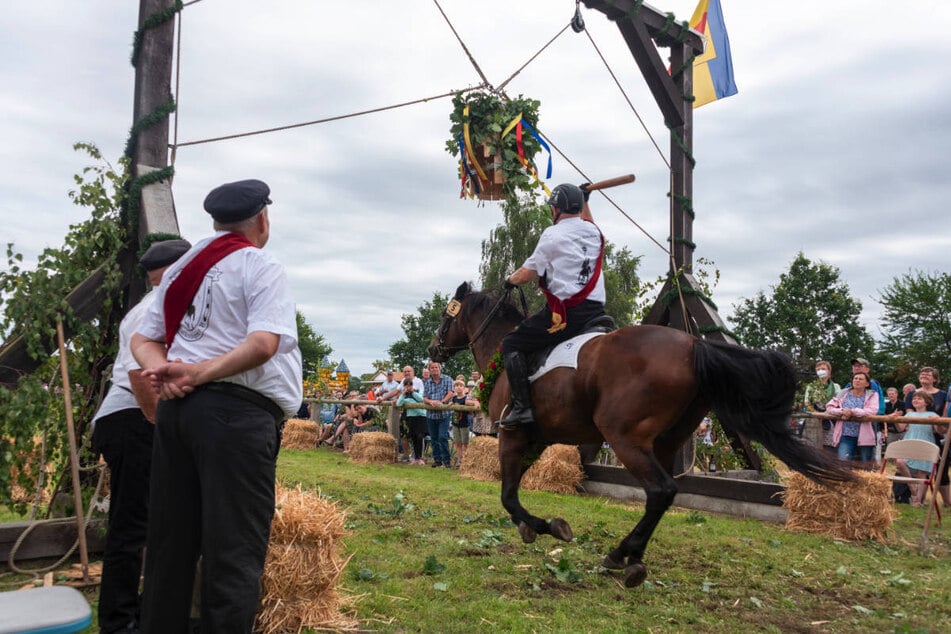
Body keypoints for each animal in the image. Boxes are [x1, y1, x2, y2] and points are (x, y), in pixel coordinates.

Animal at [432, 282, 856, 588]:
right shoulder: (536, 440)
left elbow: (507, 494)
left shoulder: (512, 436)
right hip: (665, 441)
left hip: (626, 439)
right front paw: (535, 525)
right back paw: (630, 556)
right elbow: (514, 487)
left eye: (445, 316)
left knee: (661, 489)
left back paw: (623, 554)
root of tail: (694, 345)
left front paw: (545, 527)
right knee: (662, 495)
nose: (435, 349)